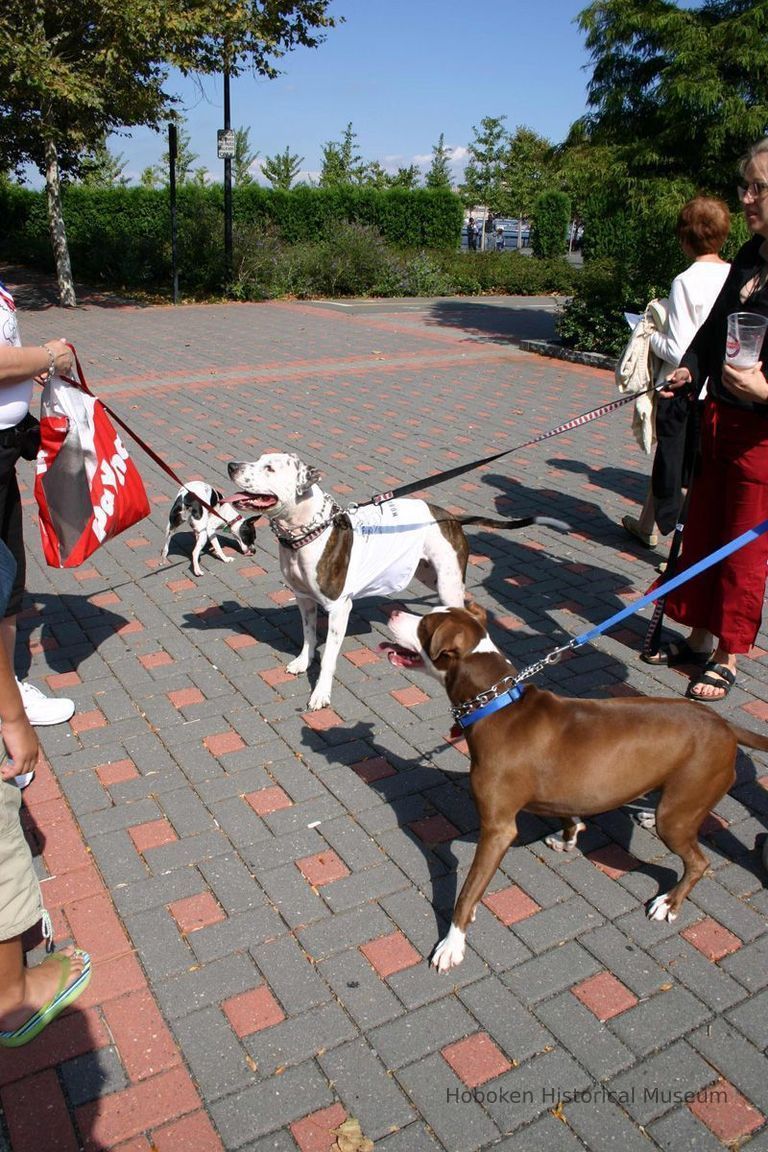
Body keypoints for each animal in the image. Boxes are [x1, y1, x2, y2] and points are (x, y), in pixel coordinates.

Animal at [225, 451, 568, 709]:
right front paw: (302, 661)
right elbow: (309, 635)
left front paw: (321, 693)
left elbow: (330, 658)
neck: (308, 531)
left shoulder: (338, 608)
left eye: (269, 468)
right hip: (431, 575)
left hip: (446, 583)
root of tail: (451, 518)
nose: (231, 465)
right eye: (257, 459)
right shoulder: (304, 598)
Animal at [384, 603, 768, 972]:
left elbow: (466, 892)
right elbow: (567, 815)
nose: (394, 611)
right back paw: (646, 814)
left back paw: (669, 902)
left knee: (698, 862)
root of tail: (726, 725)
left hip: (678, 815)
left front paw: (452, 944)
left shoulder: (497, 830)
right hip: (677, 800)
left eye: (425, 626)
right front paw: (569, 836)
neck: (494, 703)